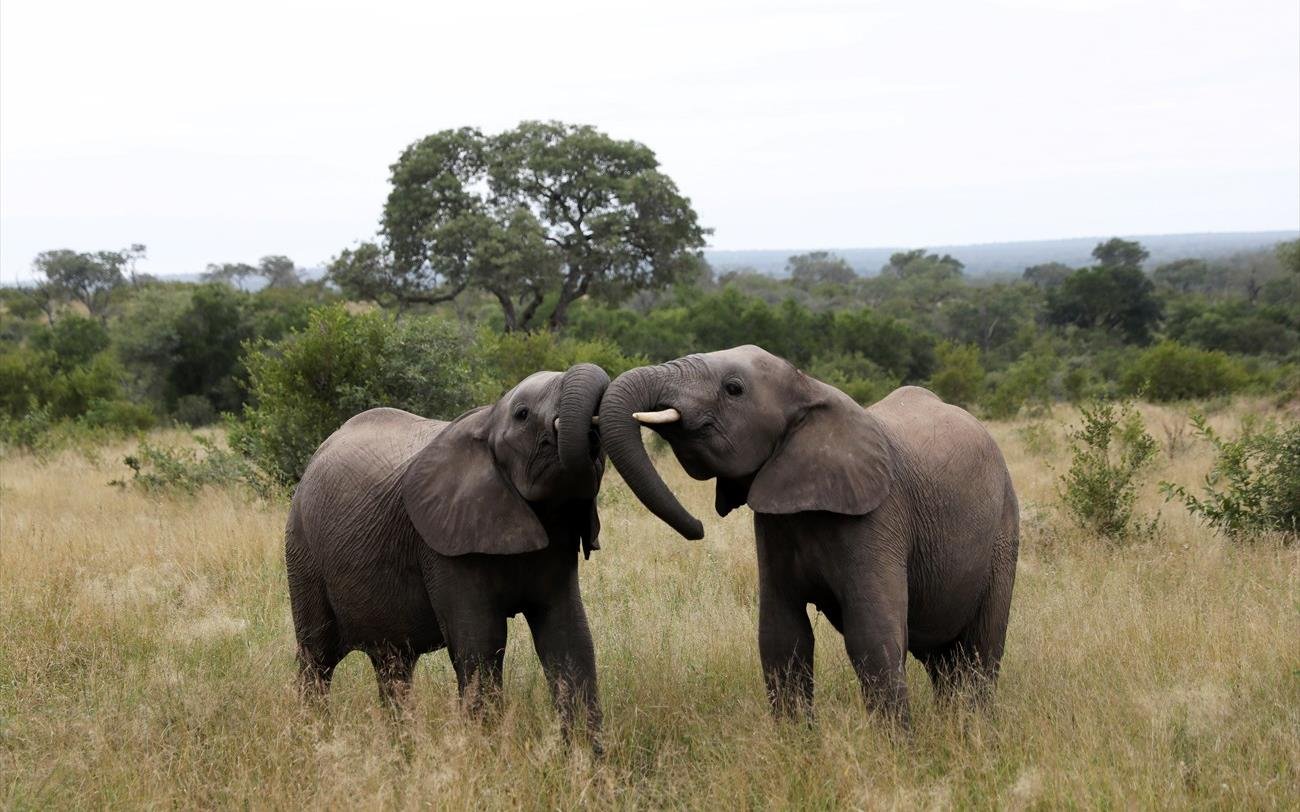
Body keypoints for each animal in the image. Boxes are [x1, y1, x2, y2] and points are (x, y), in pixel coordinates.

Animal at [284, 363, 608, 743]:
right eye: (522, 414)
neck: (488, 419)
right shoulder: (442, 547)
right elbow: (481, 644)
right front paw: (485, 750)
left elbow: (568, 635)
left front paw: (585, 757)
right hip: (302, 549)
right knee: (317, 655)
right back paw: (313, 736)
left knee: (393, 665)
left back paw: (402, 746)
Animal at [595, 345, 1013, 722]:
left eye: (733, 389)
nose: (697, 528)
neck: (809, 387)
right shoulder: (775, 522)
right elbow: (782, 635)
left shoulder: (880, 516)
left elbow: (871, 634)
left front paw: (898, 749)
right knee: (944, 661)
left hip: (1004, 532)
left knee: (981, 649)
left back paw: (972, 729)